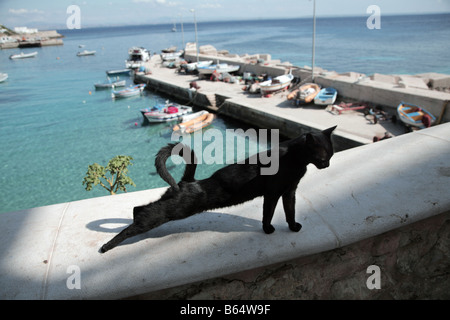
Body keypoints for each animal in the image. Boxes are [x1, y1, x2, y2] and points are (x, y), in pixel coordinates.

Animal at [100, 125, 336, 252]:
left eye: (331, 154)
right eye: (322, 156)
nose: (327, 165)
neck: (296, 160)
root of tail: (188, 181)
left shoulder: (290, 191)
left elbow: (290, 211)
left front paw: (293, 227)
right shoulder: (272, 194)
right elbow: (268, 214)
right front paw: (268, 230)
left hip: (168, 205)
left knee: (140, 209)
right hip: (171, 212)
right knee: (138, 220)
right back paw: (106, 247)